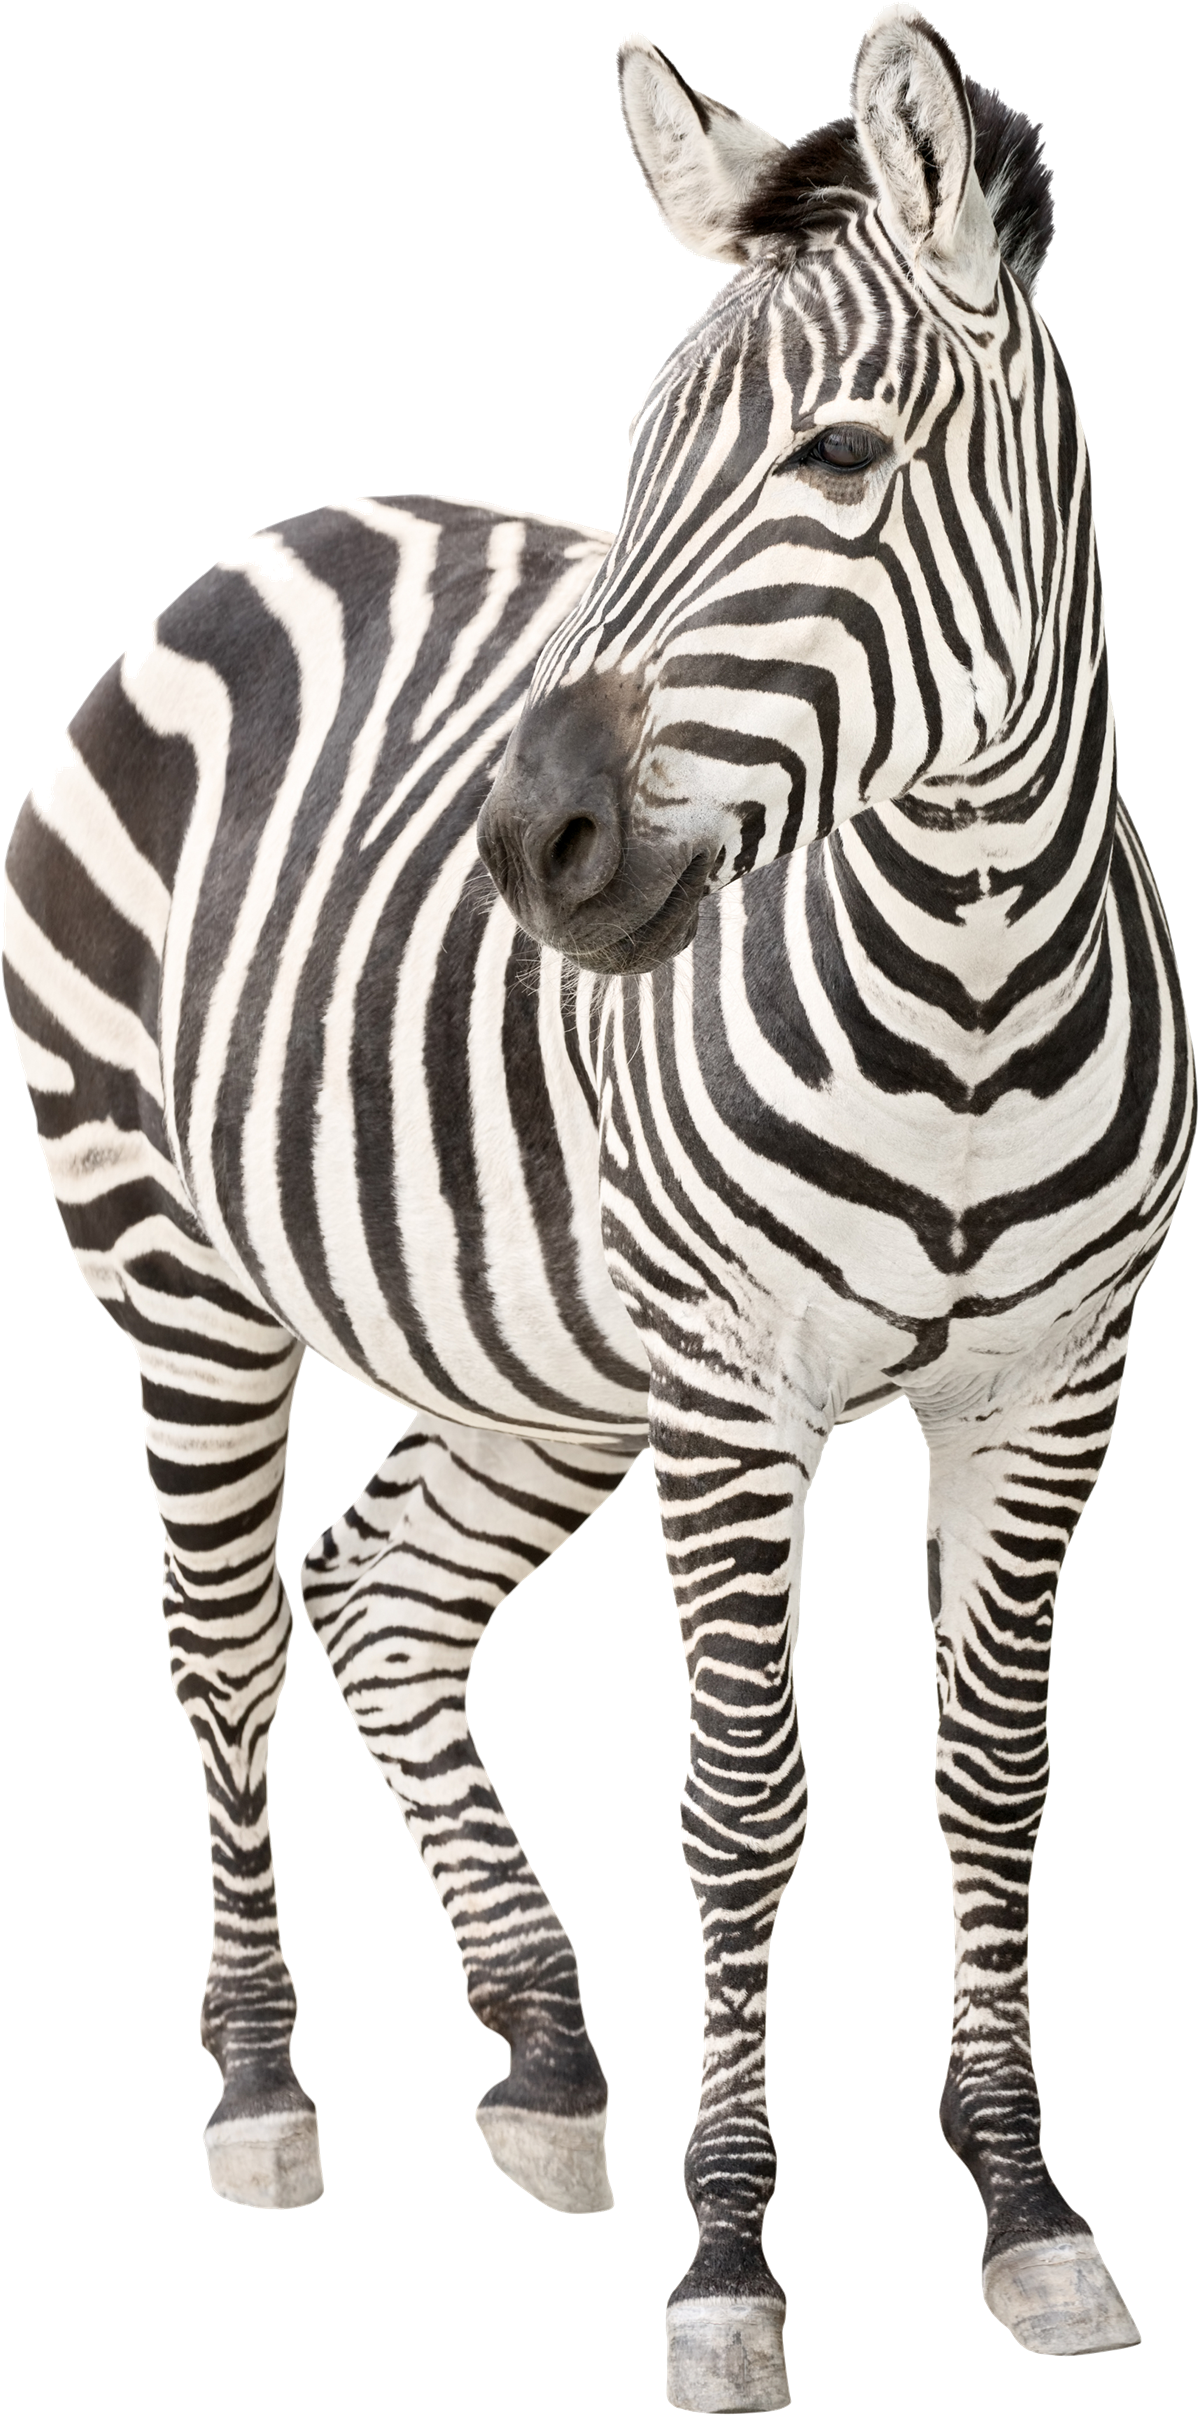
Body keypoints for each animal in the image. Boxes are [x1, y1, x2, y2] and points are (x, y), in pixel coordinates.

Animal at [3, 4, 1190, 2402]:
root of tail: (260, 548)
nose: (524, 845)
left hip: (530, 1352)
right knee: (224, 1638)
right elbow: (741, 1810)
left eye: (836, 458)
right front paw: (728, 2263)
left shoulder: (1047, 1386)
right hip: (179, 1273)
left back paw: (548, 2055)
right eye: (630, 457)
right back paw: (260, 2085)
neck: (970, 981)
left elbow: (991, 1779)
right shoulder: (735, 1404)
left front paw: (1025, 2209)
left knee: (375, 1593)